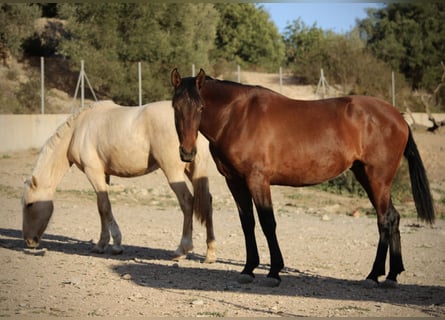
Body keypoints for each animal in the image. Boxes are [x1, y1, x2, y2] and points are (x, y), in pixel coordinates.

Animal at [21, 100, 216, 262]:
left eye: (30, 204)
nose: (29, 241)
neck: (78, 130)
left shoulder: (93, 172)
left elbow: (104, 207)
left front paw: (115, 245)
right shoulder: (104, 175)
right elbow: (101, 208)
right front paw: (101, 244)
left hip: (173, 171)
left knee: (187, 202)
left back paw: (182, 249)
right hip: (194, 171)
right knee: (207, 202)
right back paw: (210, 253)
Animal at [171, 68, 434, 288]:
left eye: (201, 108)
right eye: (175, 107)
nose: (187, 153)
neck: (236, 117)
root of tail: (399, 117)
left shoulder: (258, 179)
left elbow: (268, 223)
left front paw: (274, 272)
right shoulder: (235, 181)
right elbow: (248, 224)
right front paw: (248, 269)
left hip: (377, 179)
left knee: (384, 220)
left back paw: (373, 275)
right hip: (367, 177)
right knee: (393, 217)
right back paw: (391, 275)